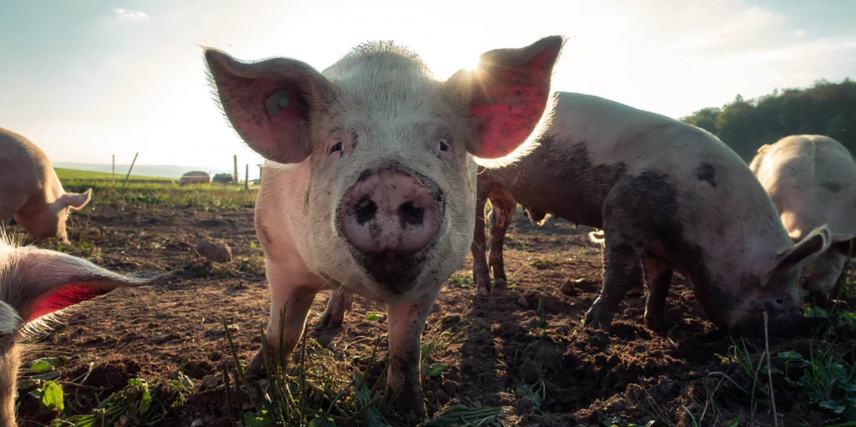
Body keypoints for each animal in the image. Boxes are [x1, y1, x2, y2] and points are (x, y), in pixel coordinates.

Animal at [206, 36, 568, 414]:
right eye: (336, 145)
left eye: (443, 144)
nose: (391, 181)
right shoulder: (279, 257)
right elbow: (282, 333)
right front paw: (253, 391)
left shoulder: (431, 282)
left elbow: (406, 348)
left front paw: (409, 410)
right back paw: (327, 323)